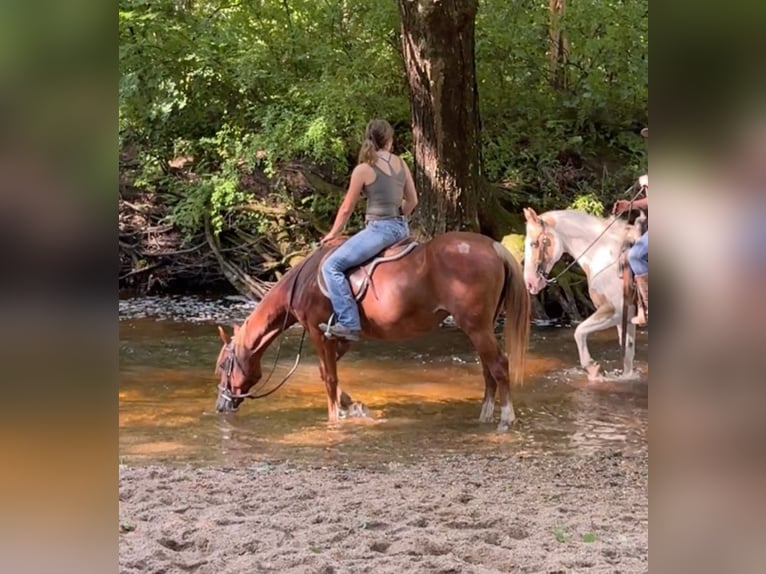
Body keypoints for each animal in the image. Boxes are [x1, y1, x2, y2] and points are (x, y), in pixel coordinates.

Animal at [213, 232, 532, 430]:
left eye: (223, 366)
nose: (221, 406)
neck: (305, 282)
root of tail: (492, 247)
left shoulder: (318, 332)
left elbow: (328, 377)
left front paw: (335, 417)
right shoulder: (340, 337)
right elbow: (328, 372)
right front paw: (351, 406)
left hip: (476, 327)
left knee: (498, 365)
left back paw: (505, 418)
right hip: (481, 327)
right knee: (487, 370)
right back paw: (485, 416)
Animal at [520, 208, 640, 382]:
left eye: (534, 243)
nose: (530, 283)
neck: (605, 256)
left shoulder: (614, 311)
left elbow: (579, 331)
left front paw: (592, 368)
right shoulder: (627, 317)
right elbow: (628, 358)